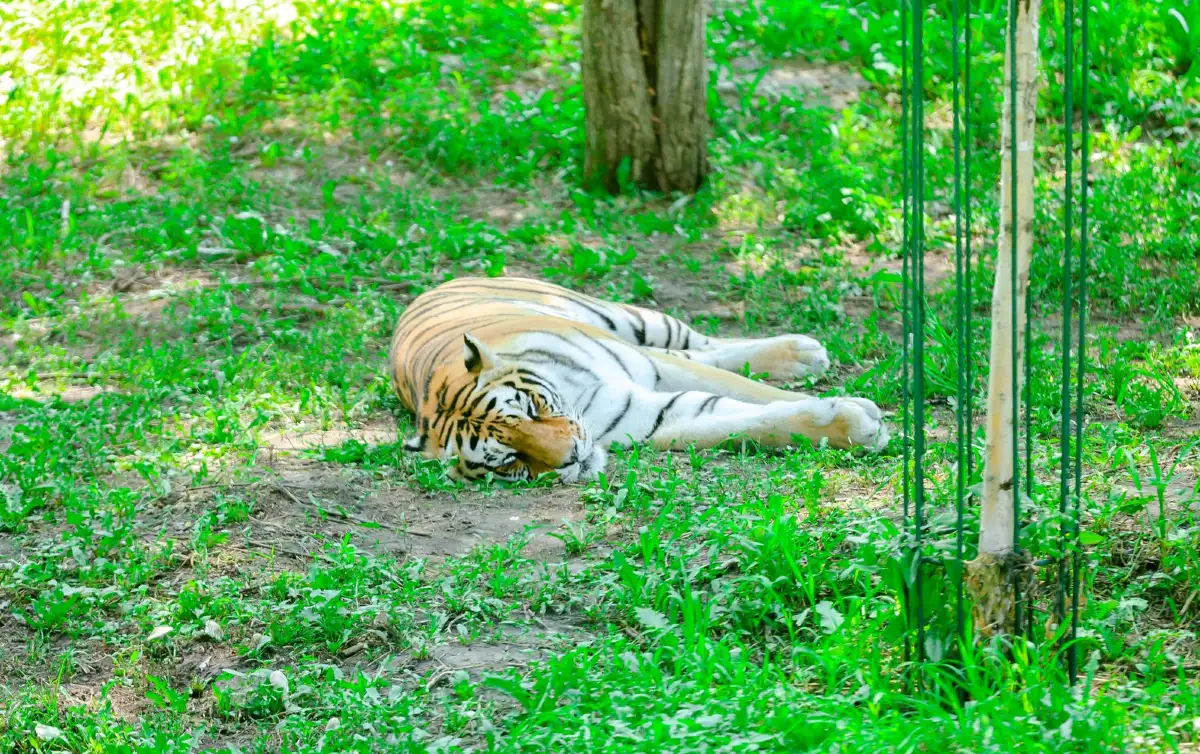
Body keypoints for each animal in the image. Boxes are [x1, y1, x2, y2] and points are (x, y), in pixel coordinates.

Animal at [388, 277, 889, 483]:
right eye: (507, 460)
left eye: (531, 409)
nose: (572, 456)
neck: (578, 399)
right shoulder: (654, 417)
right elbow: (747, 420)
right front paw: (855, 424)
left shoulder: (653, 366)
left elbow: (752, 392)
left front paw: (866, 412)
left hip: (632, 321)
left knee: (703, 343)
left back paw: (803, 352)